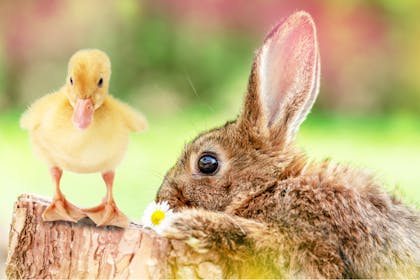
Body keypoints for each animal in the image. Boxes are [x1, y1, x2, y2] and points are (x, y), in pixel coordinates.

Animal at [155, 10, 420, 278]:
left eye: (207, 163)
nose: (161, 198)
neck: (271, 186)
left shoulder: (309, 242)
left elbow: (251, 236)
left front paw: (184, 223)